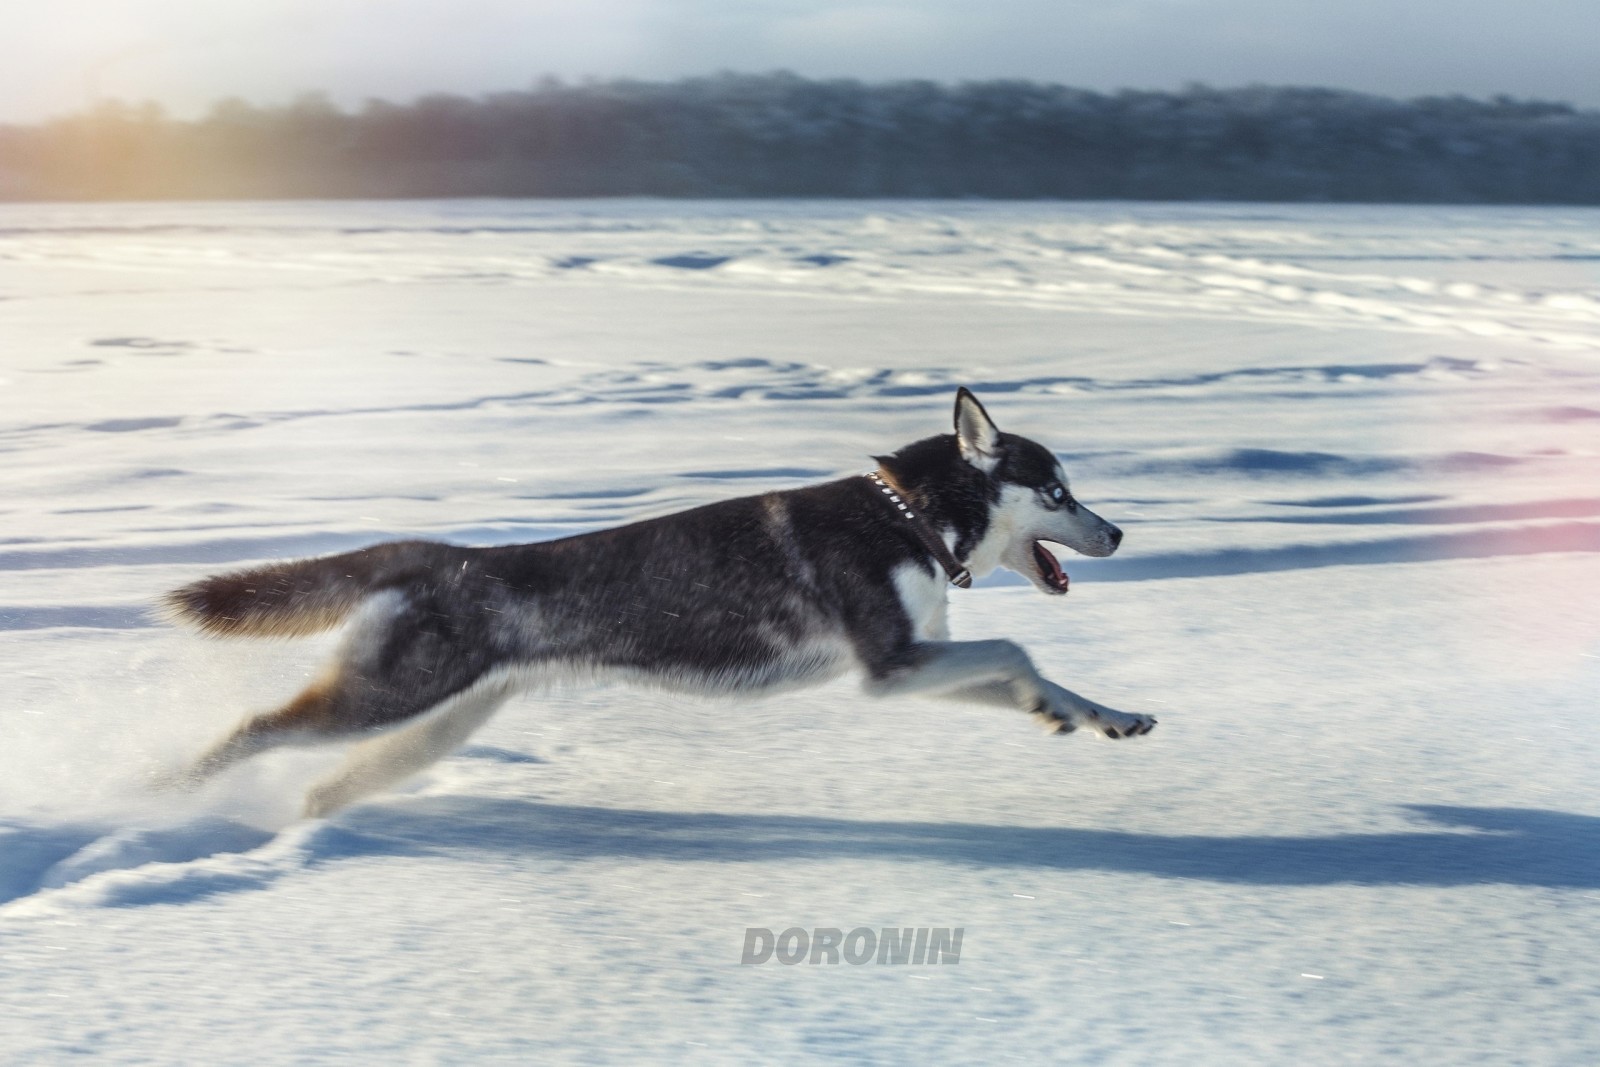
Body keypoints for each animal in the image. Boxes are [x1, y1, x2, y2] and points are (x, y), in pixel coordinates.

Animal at [162, 388, 1158, 812]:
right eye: (1058, 492)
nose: (1117, 533)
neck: (909, 516)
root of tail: (445, 554)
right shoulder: (889, 665)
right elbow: (1016, 650)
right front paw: (1065, 703)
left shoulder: (916, 660)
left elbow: (1029, 673)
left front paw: (1096, 715)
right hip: (387, 699)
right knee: (252, 732)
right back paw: (150, 800)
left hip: (434, 723)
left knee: (325, 784)